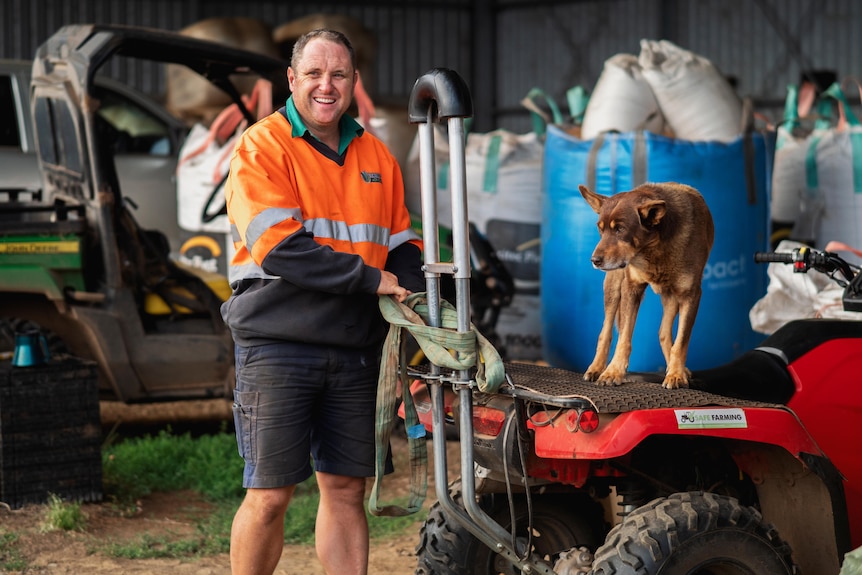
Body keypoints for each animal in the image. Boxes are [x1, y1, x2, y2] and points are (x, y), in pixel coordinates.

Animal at [580, 182, 716, 390]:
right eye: (600, 229)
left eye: (620, 229)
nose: (594, 260)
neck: (654, 248)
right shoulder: (631, 287)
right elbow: (624, 338)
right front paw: (613, 371)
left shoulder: (690, 294)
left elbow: (681, 341)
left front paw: (676, 374)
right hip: (613, 287)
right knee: (606, 330)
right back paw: (596, 368)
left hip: (671, 295)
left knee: (664, 333)